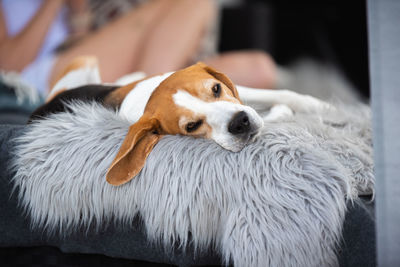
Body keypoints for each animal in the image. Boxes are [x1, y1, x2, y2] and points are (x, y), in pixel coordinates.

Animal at [31, 56, 330, 186]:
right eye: (191, 127)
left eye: (216, 89)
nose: (240, 122)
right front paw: (281, 113)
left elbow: (281, 94)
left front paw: (318, 105)